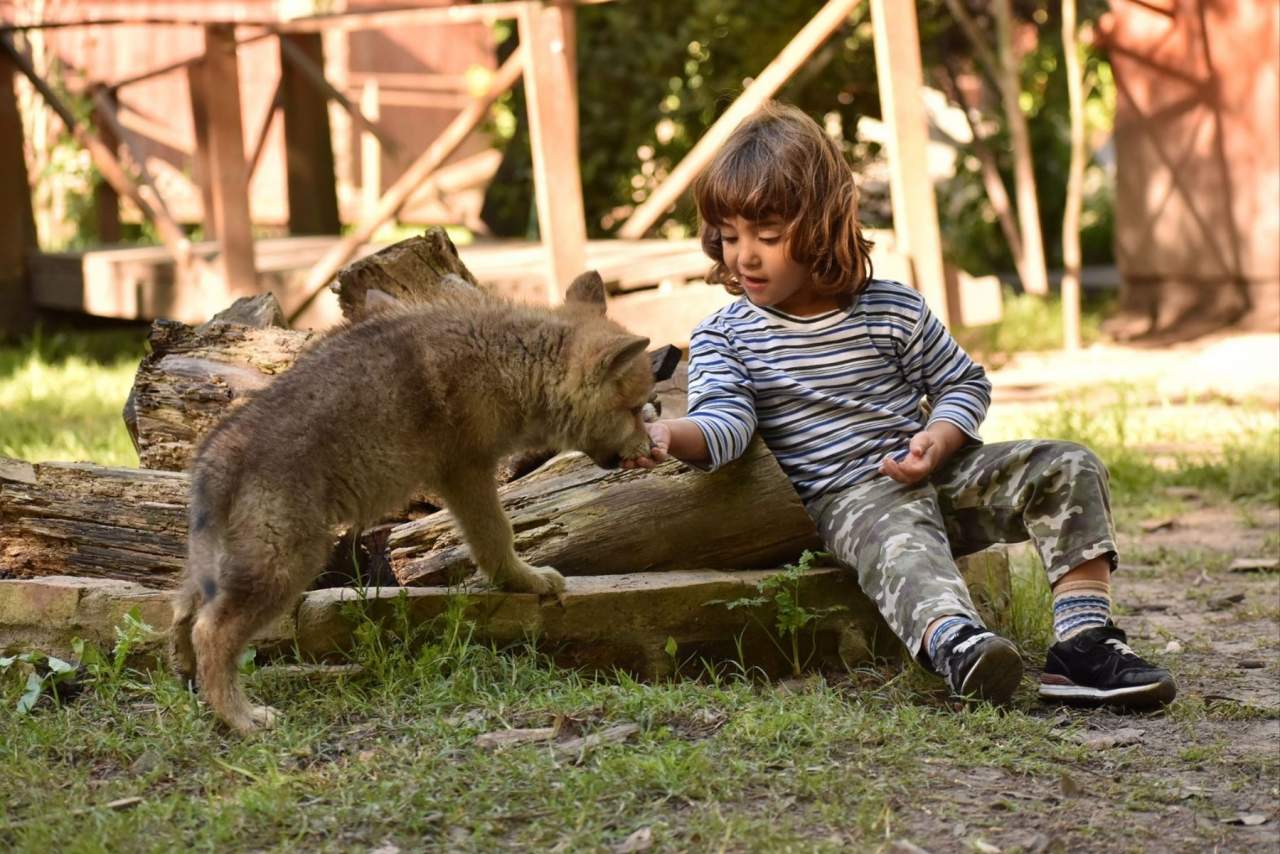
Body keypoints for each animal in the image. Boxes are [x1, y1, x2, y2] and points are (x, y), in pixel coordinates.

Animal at [169, 272, 654, 733]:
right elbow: (498, 538)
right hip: (287, 565)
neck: (512, 360)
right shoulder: (467, 471)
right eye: (634, 409)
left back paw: (192, 686)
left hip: (222, 568)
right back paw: (242, 719)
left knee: (183, 617)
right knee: (212, 632)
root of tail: (215, 458)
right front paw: (527, 581)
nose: (650, 447)